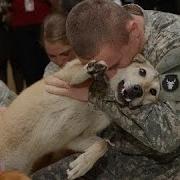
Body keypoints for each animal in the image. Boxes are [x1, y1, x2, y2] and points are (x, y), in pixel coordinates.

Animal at [0, 54, 160, 179]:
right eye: (142, 71)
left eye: (153, 92)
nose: (138, 90)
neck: (95, 105)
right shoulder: (63, 77)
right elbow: (78, 74)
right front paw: (93, 70)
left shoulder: (74, 139)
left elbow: (103, 145)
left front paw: (83, 164)